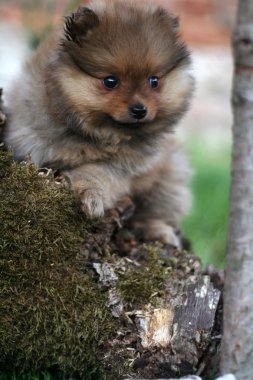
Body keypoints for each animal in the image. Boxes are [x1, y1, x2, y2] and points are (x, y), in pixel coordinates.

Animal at [3, 0, 195, 248]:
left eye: (154, 81)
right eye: (111, 81)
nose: (140, 110)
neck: (100, 134)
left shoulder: (127, 166)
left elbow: (97, 173)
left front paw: (91, 196)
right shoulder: (31, 139)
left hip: (170, 173)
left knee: (154, 211)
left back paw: (157, 231)